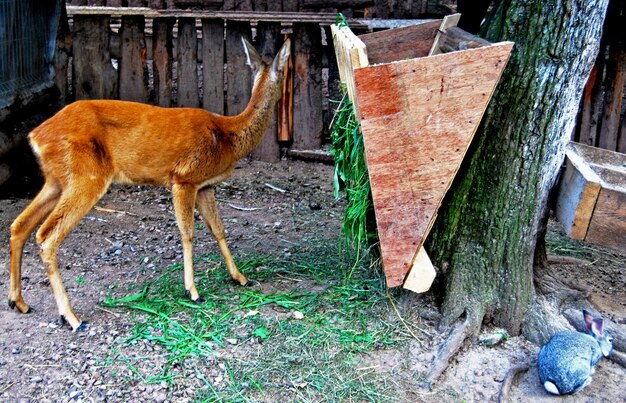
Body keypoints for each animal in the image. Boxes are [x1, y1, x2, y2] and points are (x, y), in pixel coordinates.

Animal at [7, 39, 290, 332]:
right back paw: (72, 317)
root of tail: (35, 135)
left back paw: (19, 302)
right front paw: (193, 291)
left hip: (57, 179)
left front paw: (240, 277)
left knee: (19, 225)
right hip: (86, 176)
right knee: (45, 235)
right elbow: (188, 232)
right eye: (287, 72)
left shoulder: (205, 186)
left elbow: (219, 229)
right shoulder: (184, 178)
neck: (226, 135)